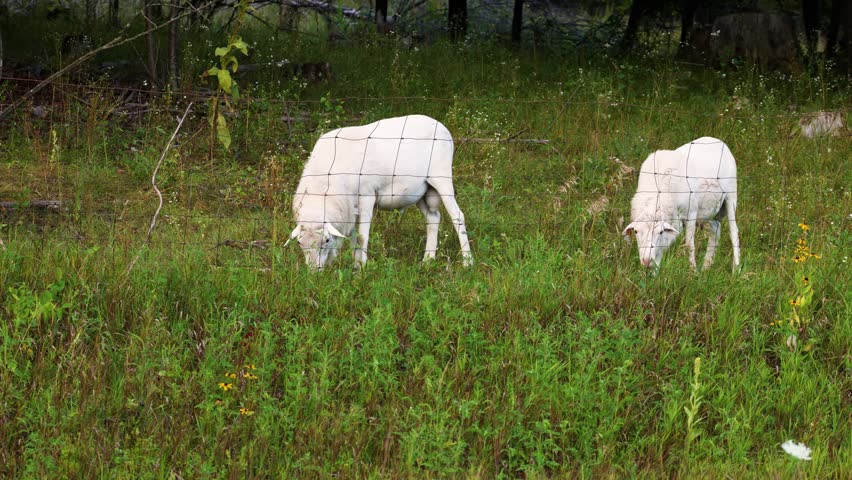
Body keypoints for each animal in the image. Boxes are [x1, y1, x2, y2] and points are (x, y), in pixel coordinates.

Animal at [287, 114, 473, 269]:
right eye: (299, 243)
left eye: (326, 240)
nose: (314, 272)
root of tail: (440, 125)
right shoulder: (350, 207)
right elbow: (354, 236)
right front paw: (355, 264)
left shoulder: (366, 195)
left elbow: (362, 236)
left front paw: (361, 267)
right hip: (421, 190)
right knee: (433, 219)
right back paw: (427, 260)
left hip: (441, 177)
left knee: (458, 216)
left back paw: (467, 262)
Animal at [622, 137, 740, 271]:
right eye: (636, 232)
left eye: (660, 232)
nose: (646, 261)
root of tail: (717, 140)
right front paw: (654, 273)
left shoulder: (691, 213)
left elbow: (689, 245)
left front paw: (693, 271)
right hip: (708, 210)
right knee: (715, 229)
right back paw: (706, 267)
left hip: (731, 197)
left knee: (734, 233)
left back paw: (736, 269)